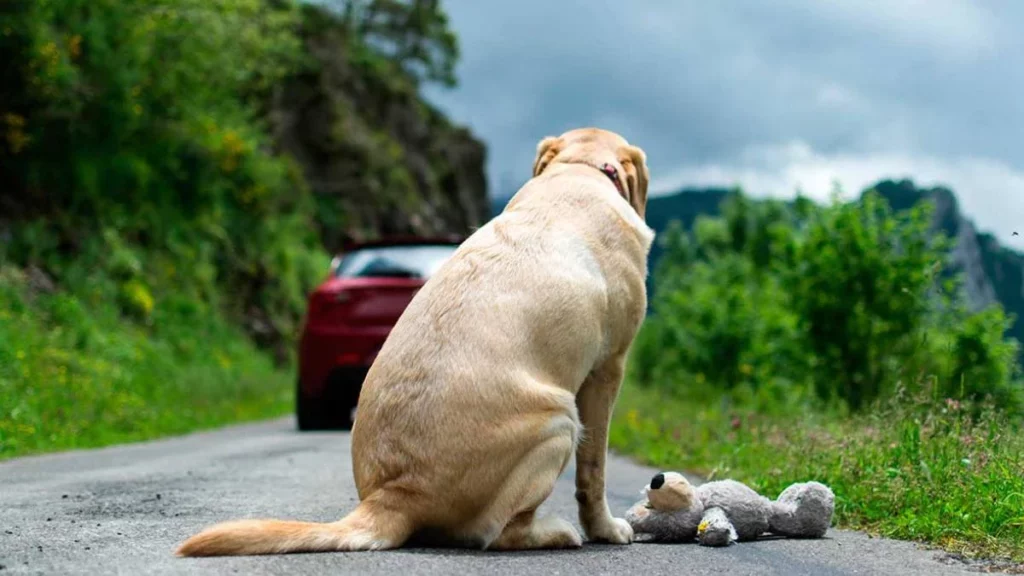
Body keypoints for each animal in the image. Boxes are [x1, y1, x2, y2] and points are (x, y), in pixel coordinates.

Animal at [176, 127, 651, 553]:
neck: (578, 169)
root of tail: (394, 496)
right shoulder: (609, 368)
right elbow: (594, 470)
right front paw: (606, 529)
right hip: (559, 420)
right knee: (497, 533)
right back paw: (555, 532)